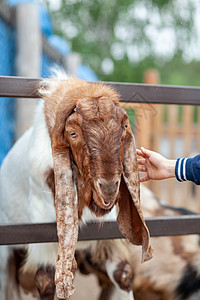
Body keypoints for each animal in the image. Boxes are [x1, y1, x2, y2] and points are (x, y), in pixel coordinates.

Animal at [0, 76, 152, 298]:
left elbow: (122, 273)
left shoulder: (106, 240)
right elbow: (47, 283)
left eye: (124, 126)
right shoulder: (44, 243)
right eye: (73, 133)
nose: (108, 187)